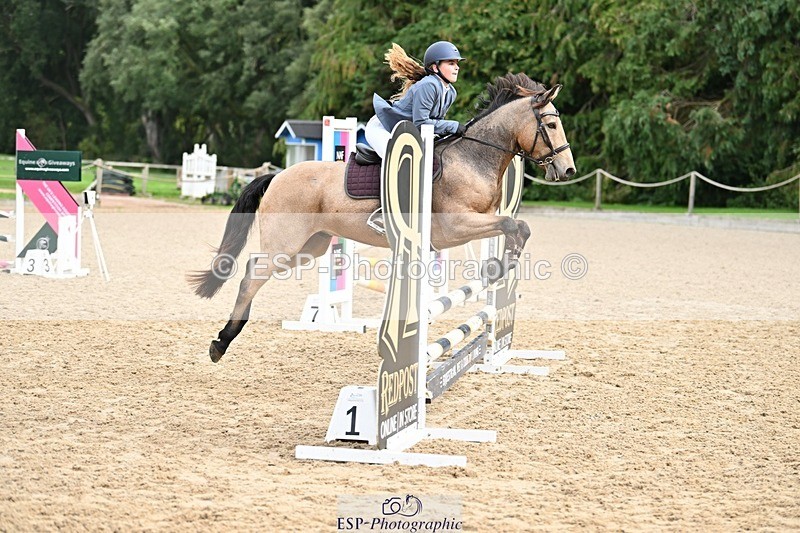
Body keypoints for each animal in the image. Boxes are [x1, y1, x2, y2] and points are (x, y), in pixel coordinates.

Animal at [188, 73, 576, 362]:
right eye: (551, 124)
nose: (568, 169)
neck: (472, 158)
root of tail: (279, 175)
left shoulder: (476, 222)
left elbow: (517, 227)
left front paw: (499, 266)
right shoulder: (455, 227)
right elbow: (514, 224)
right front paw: (499, 268)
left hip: (310, 247)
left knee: (255, 272)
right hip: (284, 244)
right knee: (251, 276)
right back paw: (222, 341)